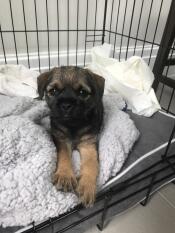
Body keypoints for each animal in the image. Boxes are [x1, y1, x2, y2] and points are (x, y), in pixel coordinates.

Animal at [37, 66, 104, 207]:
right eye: (54, 91)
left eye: (82, 92)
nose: (66, 105)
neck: (73, 125)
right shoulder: (61, 139)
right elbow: (63, 156)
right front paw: (65, 176)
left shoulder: (88, 144)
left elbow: (91, 164)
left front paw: (87, 187)